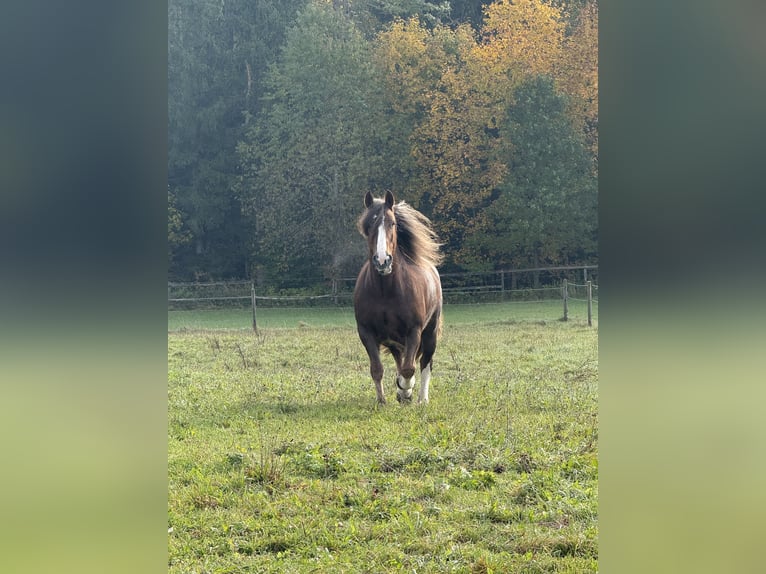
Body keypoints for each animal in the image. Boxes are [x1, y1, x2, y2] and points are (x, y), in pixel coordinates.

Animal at [353, 191, 444, 404]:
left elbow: (409, 369)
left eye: (392, 223)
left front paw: (405, 390)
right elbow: (377, 369)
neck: (385, 291)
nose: (382, 261)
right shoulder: (366, 332)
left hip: (430, 333)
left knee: (425, 363)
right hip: (396, 341)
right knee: (400, 360)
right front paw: (382, 400)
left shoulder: (414, 331)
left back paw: (421, 398)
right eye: (368, 225)